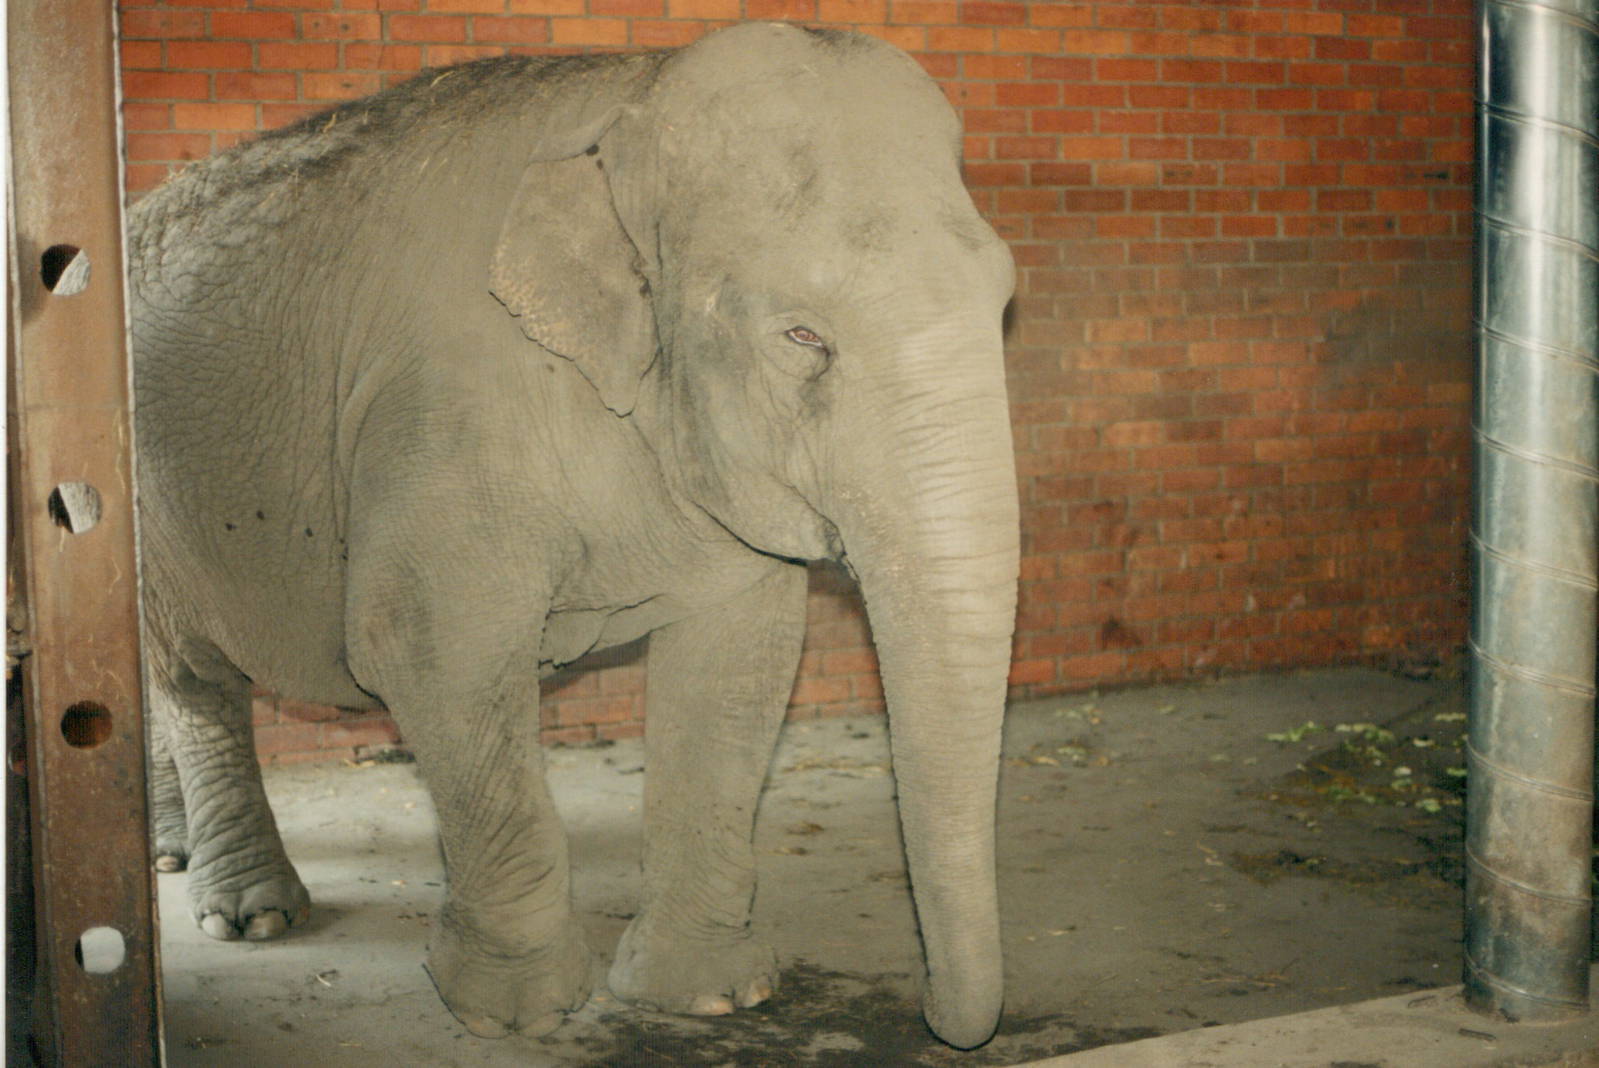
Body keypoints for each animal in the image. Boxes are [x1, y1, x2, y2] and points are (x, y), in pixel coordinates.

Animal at [129, 22, 1018, 1050]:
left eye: (1005, 305)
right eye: (802, 337)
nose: (938, 1021)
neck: (632, 94)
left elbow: (740, 659)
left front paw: (709, 995)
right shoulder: (445, 407)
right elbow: (431, 646)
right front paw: (512, 1011)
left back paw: (170, 853)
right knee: (194, 678)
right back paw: (256, 914)